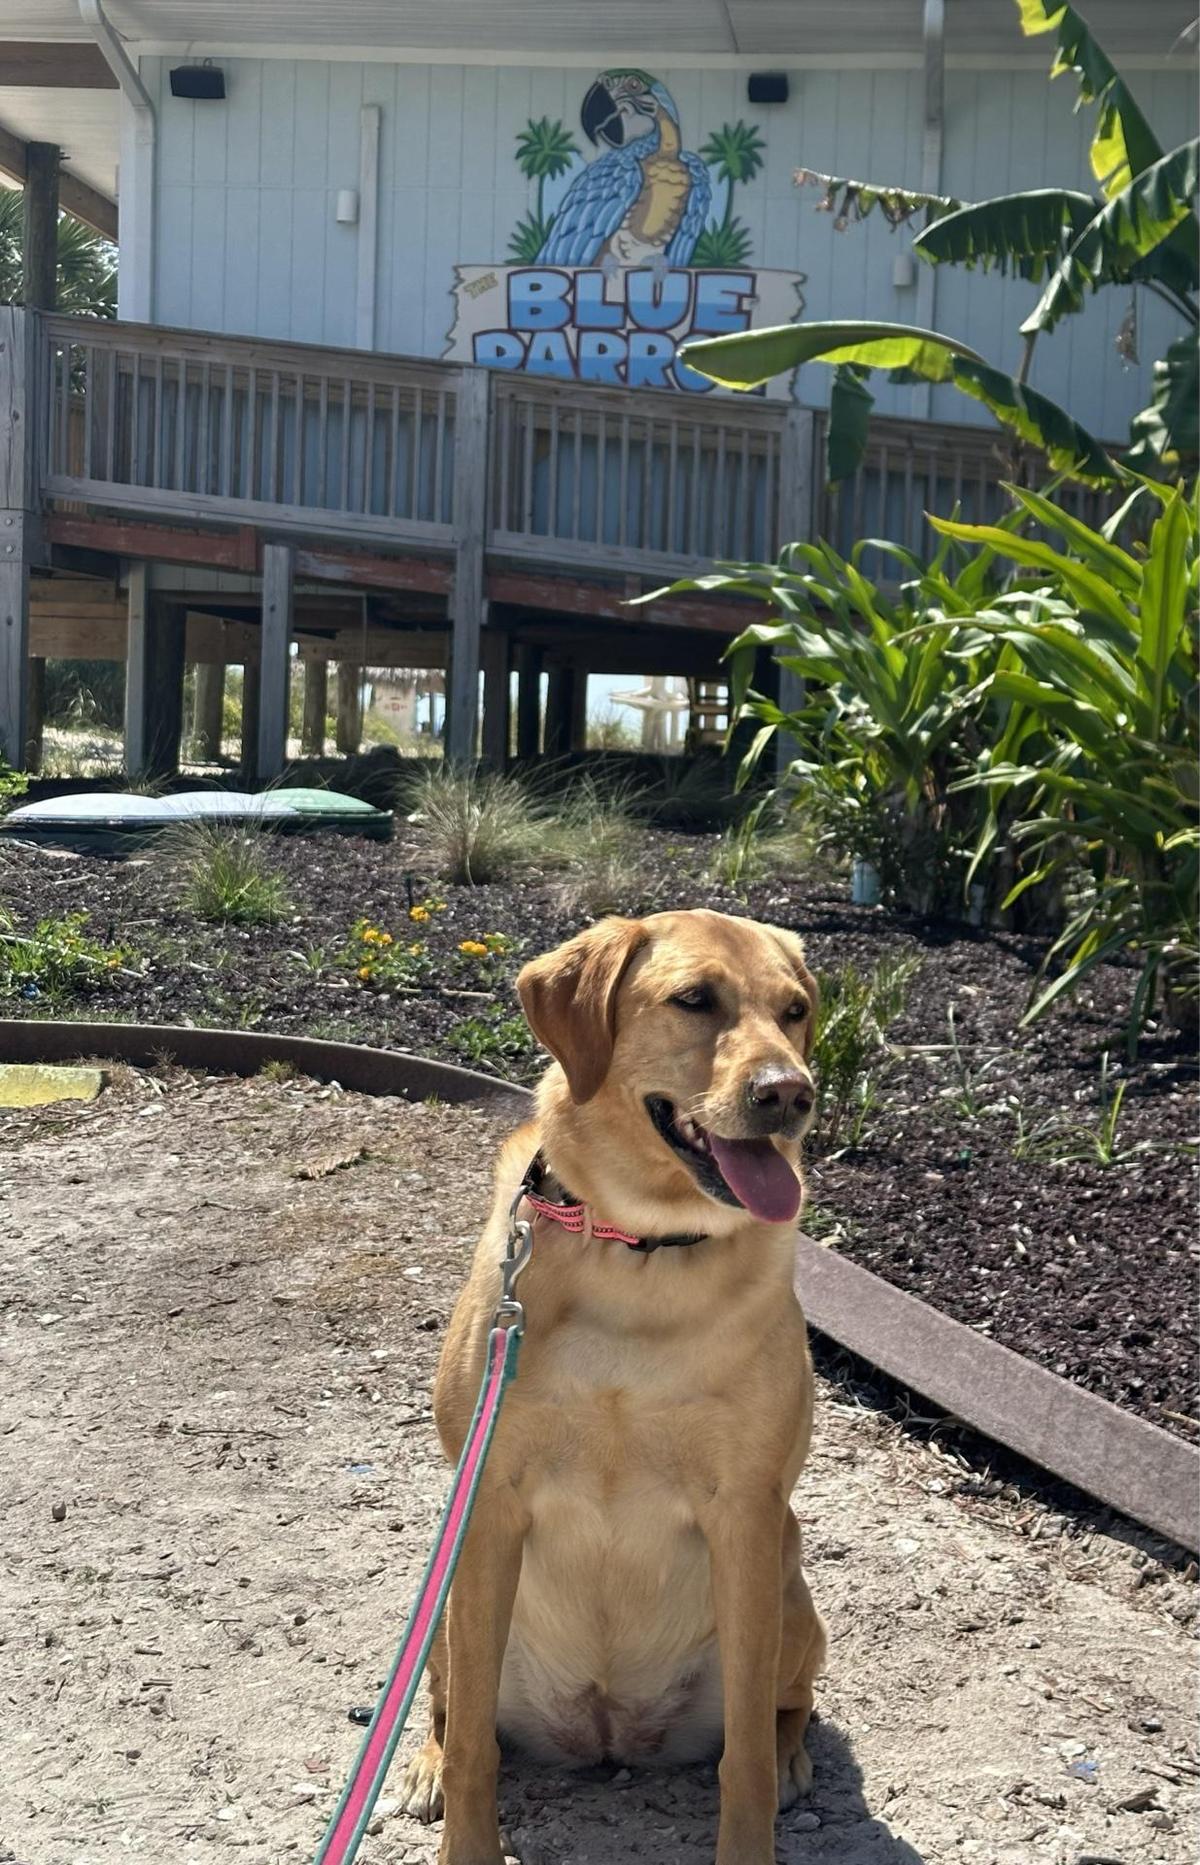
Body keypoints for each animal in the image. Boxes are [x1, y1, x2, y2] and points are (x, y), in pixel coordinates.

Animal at [401, 910, 824, 1857]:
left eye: (796, 1010)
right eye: (694, 999)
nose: (790, 1094)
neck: (642, 1252)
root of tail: (607, 1732)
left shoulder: (746, 1516)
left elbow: (741, 1760)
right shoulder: (488, 1501)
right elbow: (474, 1743)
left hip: (789, 1601)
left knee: (786, 1708)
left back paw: (791, 1758)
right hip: (447, 1597)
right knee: (449, 1704)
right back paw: (419, 1762)